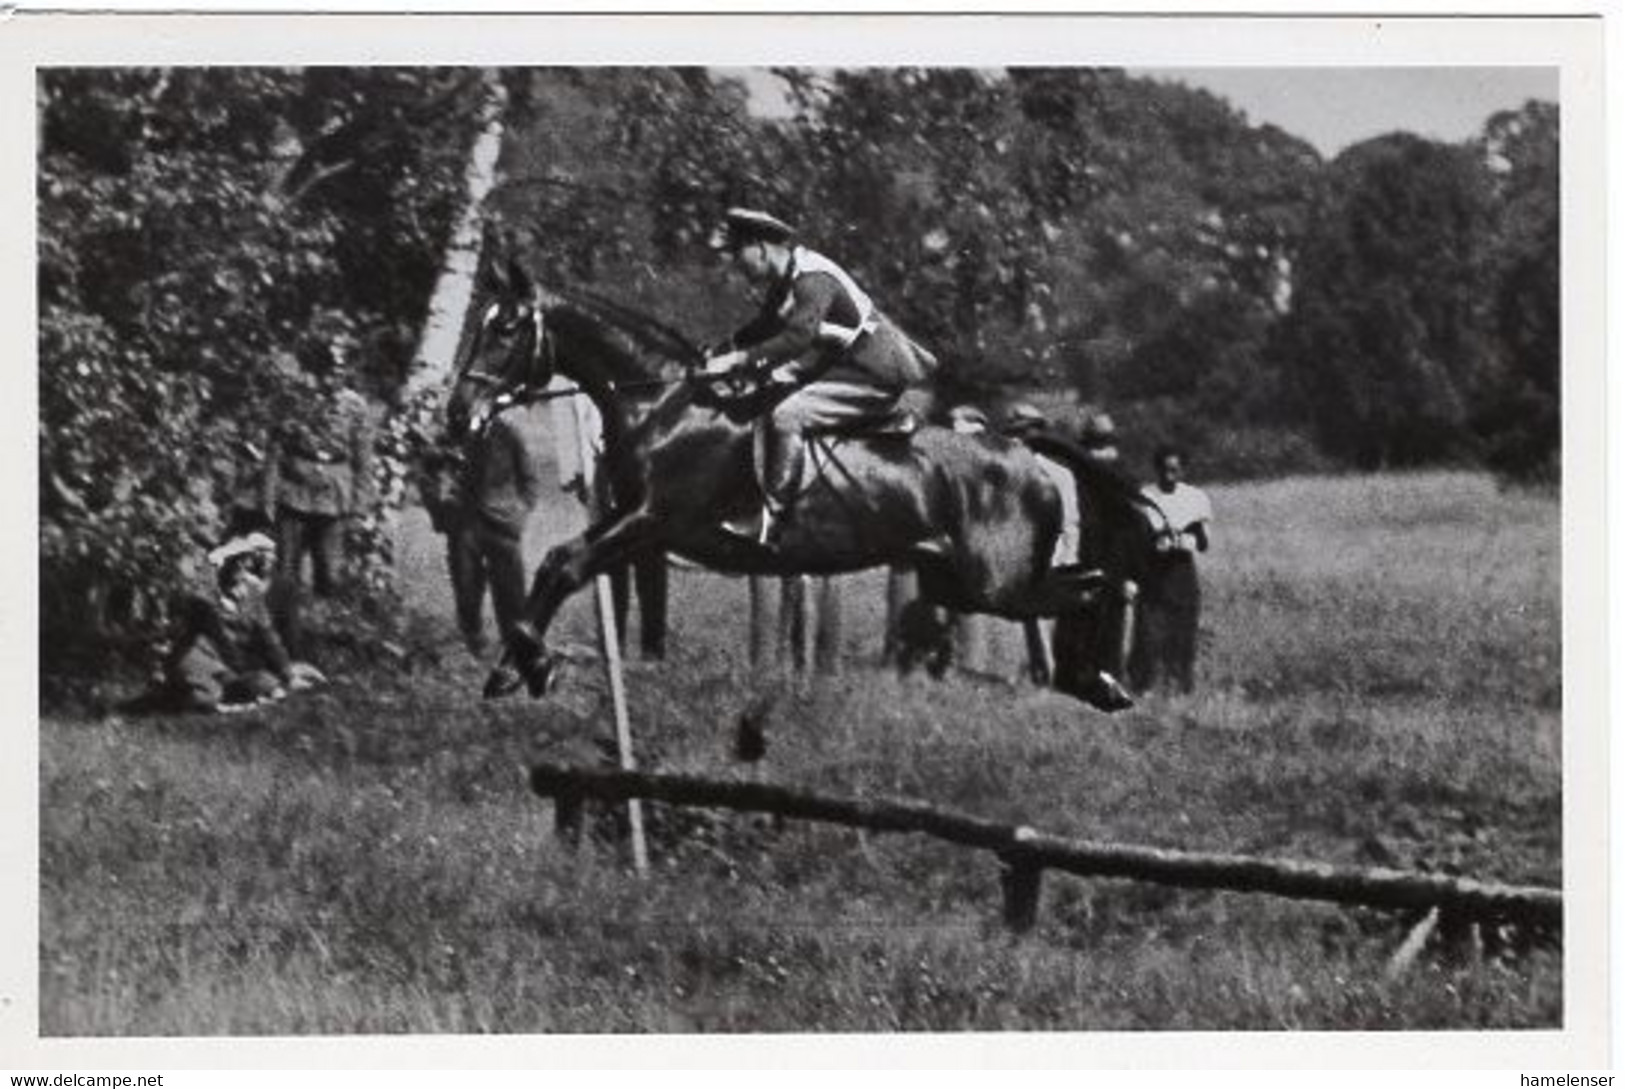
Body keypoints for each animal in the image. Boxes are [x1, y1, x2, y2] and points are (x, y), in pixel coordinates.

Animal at [468, 260, 1157, 711]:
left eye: (505, 330)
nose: (462, 412)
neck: (666, 404)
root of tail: (1022, 448)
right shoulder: (638, 530)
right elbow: (560, 567)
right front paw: (515, 668)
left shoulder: (652, 520)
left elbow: (562, 563)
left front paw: (529, 667)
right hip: (957, 581)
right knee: (1094, 583)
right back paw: (1092, 681)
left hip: (999, 583)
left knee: (1098, 587)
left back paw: (1099, 681)